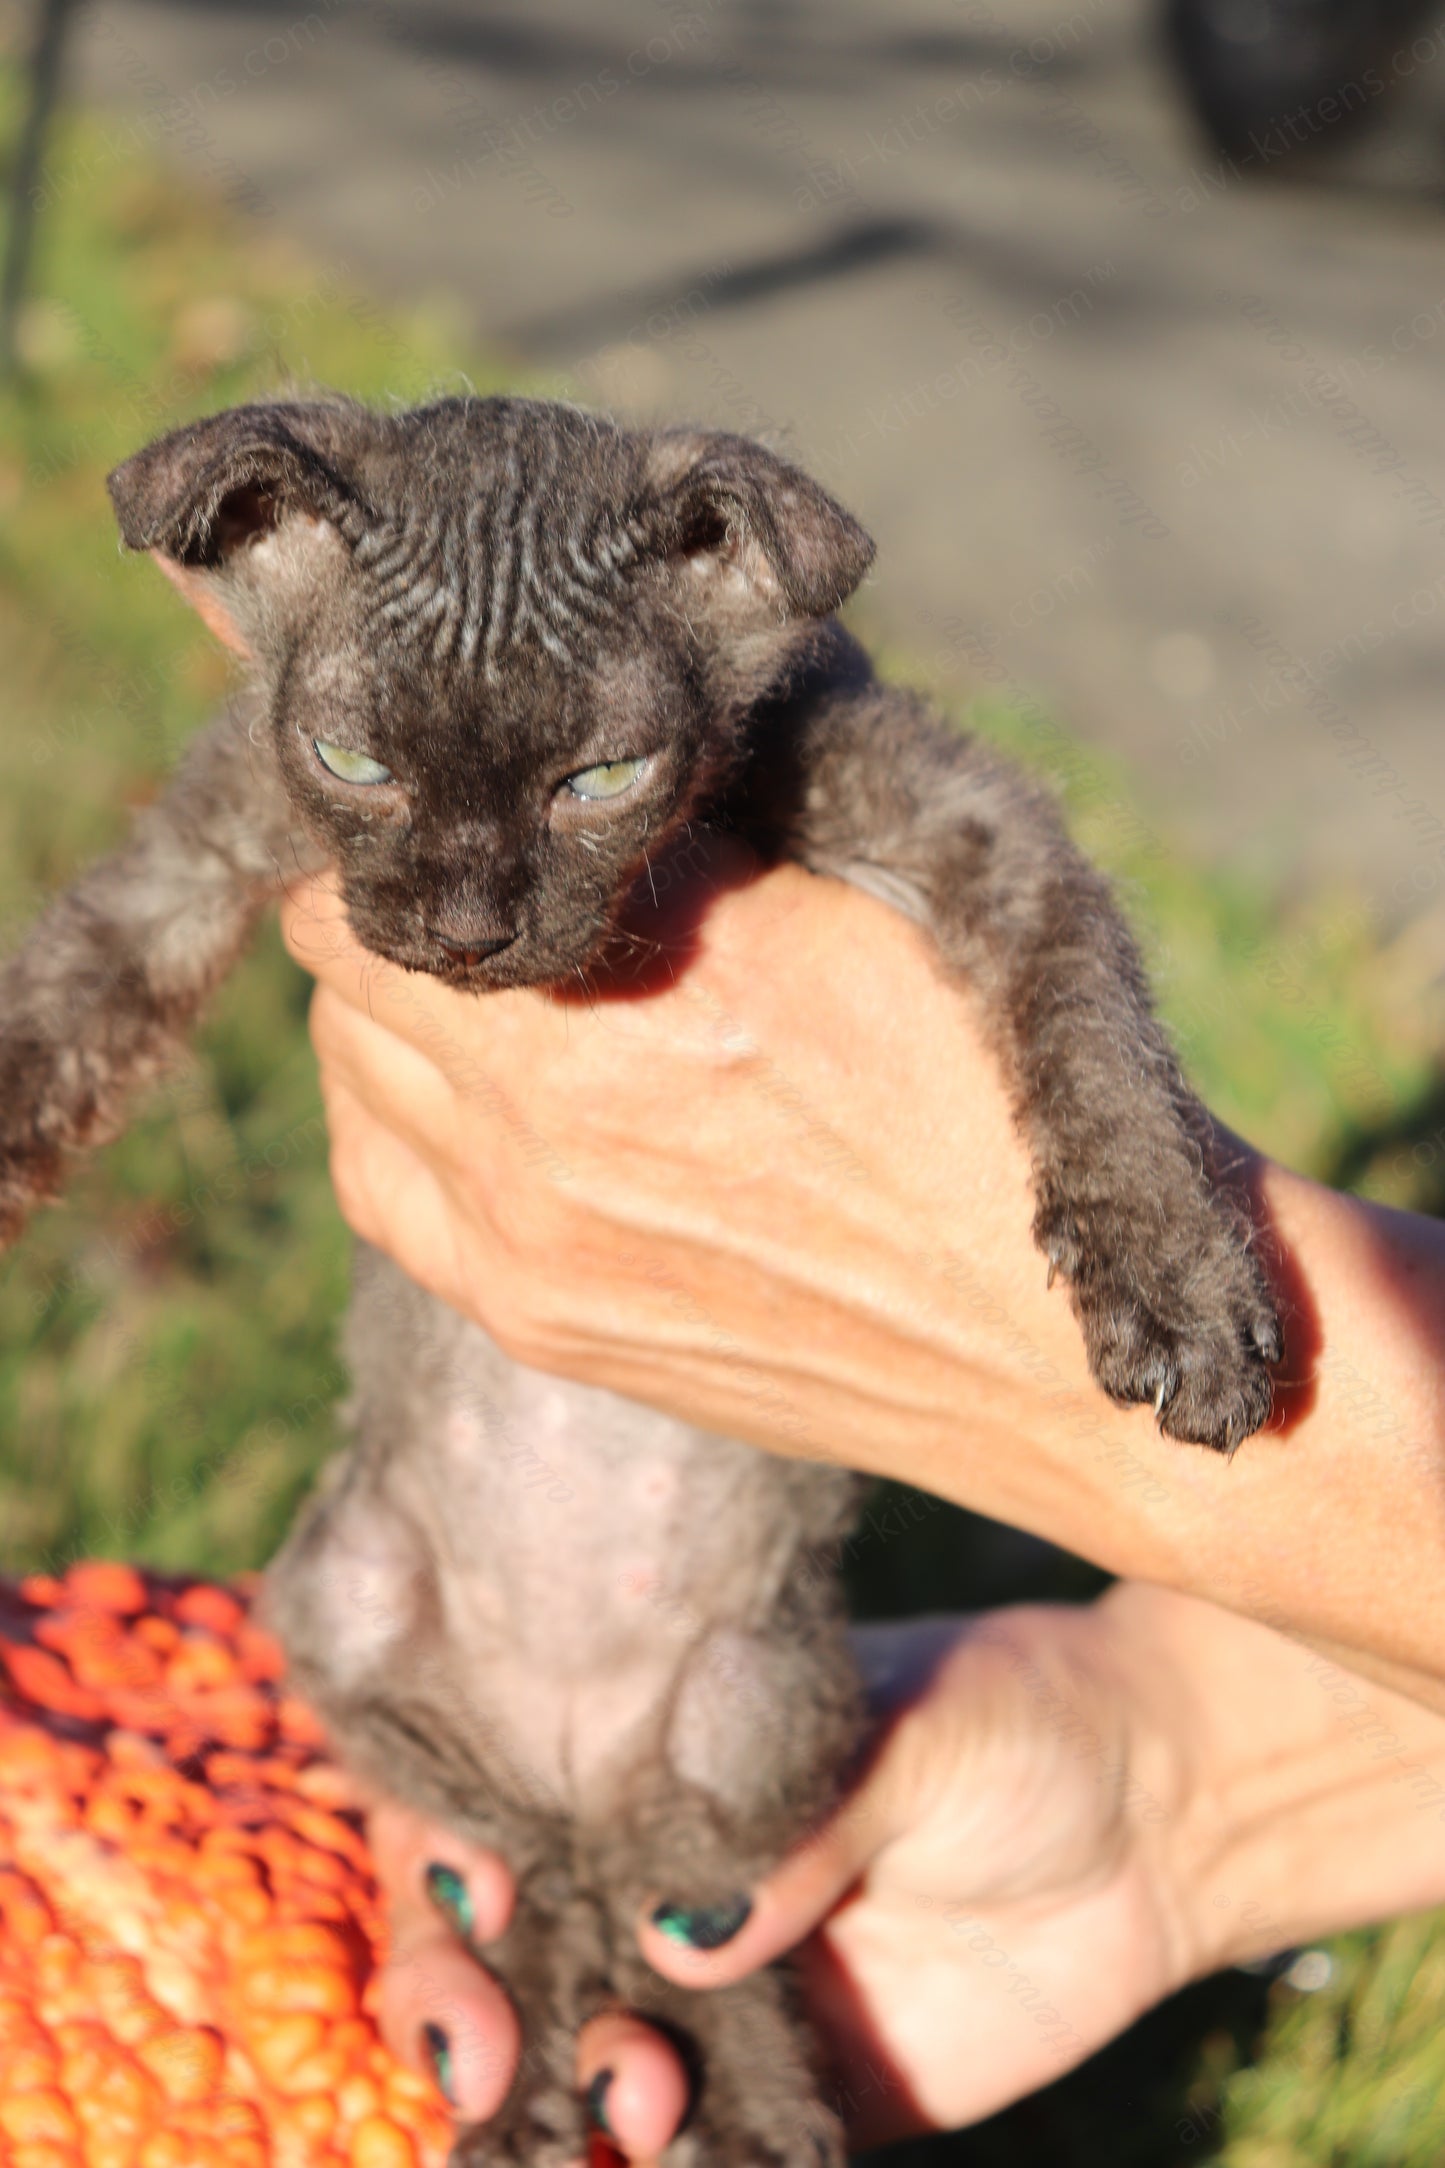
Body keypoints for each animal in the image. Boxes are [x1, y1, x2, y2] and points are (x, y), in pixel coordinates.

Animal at [2, 398, 1291, 2159]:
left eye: (603, 779)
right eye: (355, 765)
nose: (468, 926)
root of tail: (579, 1752)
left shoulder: (966, 821)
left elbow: (1089, 1012)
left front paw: (1174, 1274)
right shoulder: (202, 843)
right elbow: (63, 995)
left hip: (760, 1706)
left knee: (684, 1903)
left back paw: (750, 2102)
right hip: (338, 1611)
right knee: (537, 1867)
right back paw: (540, 2076)